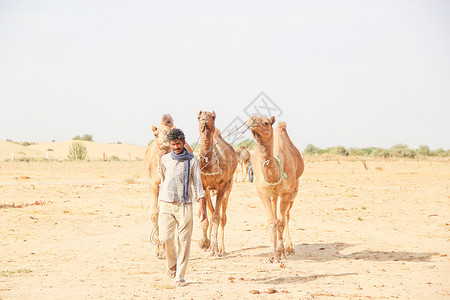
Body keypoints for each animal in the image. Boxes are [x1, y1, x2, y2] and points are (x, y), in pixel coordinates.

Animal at [144, 114, 192, 258]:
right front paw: (159, 250)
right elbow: (154, 212)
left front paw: (170, 248)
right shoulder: (154, 182)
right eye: (155, 134)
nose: (164, 142)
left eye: (169, 132)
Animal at [198, 110, 239, 255]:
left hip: (229, 186)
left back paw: (222, 248)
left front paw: (215, 248)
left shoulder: (222, 185)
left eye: (213, 117)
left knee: (223, 217)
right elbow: (206, 217)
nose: (204, 121)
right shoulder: (203, 186)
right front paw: (204, 243)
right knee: (212, 213)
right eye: (199, 117)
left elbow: (217, 217)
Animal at [246, 116, 306, 262]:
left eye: (266, 122)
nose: (251, 120)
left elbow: (281, 222)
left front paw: (281, 253)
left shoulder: (287, 193)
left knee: (286, 216)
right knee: (276, 214)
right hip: (274, 195)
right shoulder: (263, 191)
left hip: (294, 191)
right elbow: (272, 222)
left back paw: (289, 248)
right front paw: (272, 255)